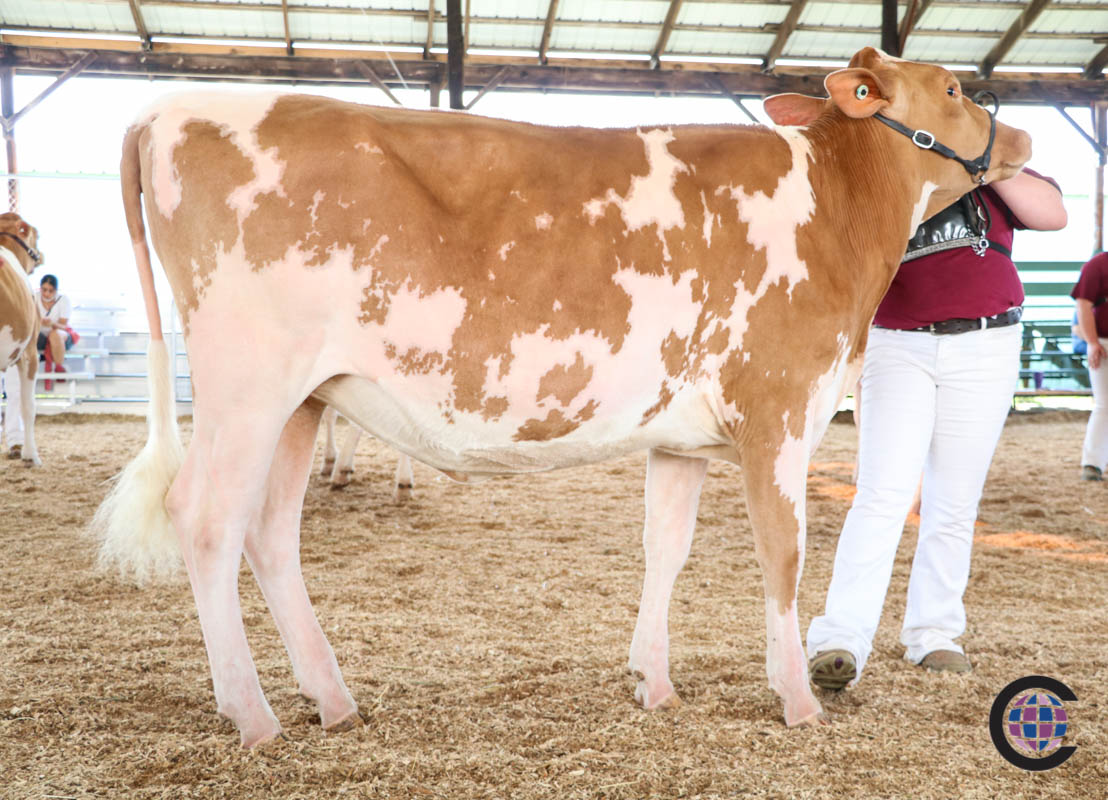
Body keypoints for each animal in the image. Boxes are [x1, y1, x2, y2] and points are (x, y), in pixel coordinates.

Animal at [92, 47, 1031, 747]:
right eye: (953, 88)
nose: (1020, 133)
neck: (831, 209)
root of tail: (164, 111)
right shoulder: (781, 410)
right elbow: (783, 558)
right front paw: (798, 702)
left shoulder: (681, 438)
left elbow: (665, 550)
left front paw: (655, 683)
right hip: (247, 385)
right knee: (206, 519)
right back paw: (252, 716)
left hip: (304, 400)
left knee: (270, 534)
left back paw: (332, 700)